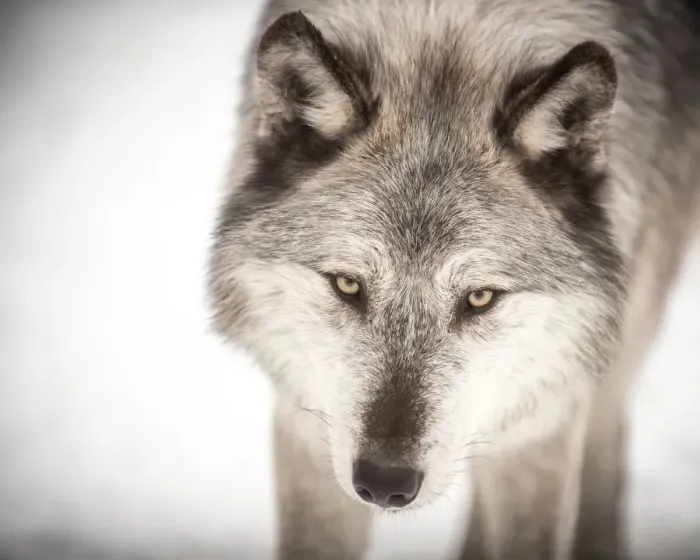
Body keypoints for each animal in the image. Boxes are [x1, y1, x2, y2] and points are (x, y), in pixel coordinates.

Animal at [207, 0, 700, 558]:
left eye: (480, 297)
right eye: (348, 285)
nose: (384, 483)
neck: (446, 34)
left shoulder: (543, 426)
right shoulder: (309, 425)